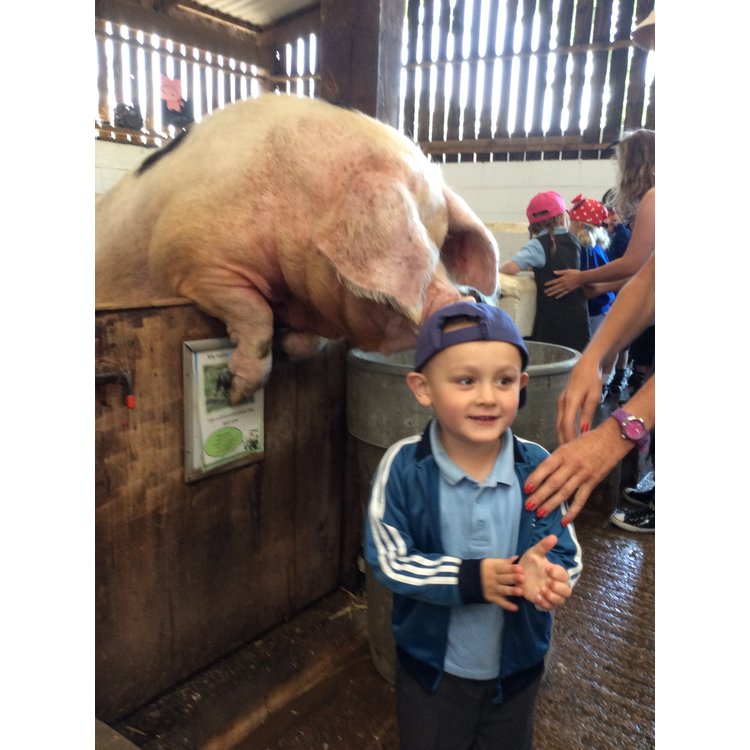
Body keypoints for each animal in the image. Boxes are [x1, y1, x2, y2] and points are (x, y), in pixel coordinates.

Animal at [98, 93, 500, 402]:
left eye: (442, 243)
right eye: (422, 249)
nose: (472, 298)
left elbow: (310, 343)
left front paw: (286, 343)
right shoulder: (191, 259)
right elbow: (254, 312)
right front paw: (236, 392)